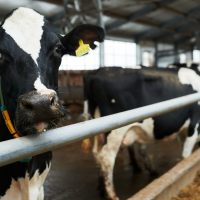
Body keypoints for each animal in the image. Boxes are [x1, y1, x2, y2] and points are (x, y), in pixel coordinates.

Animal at [83, 66, 200, 199]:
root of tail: (96, 72)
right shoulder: (194, 125)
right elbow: (187, 154)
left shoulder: (183, 130)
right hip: (115, 131)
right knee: (107, 157)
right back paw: (112, 195)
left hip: (99, 130)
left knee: (96, 153)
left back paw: (102, 188)